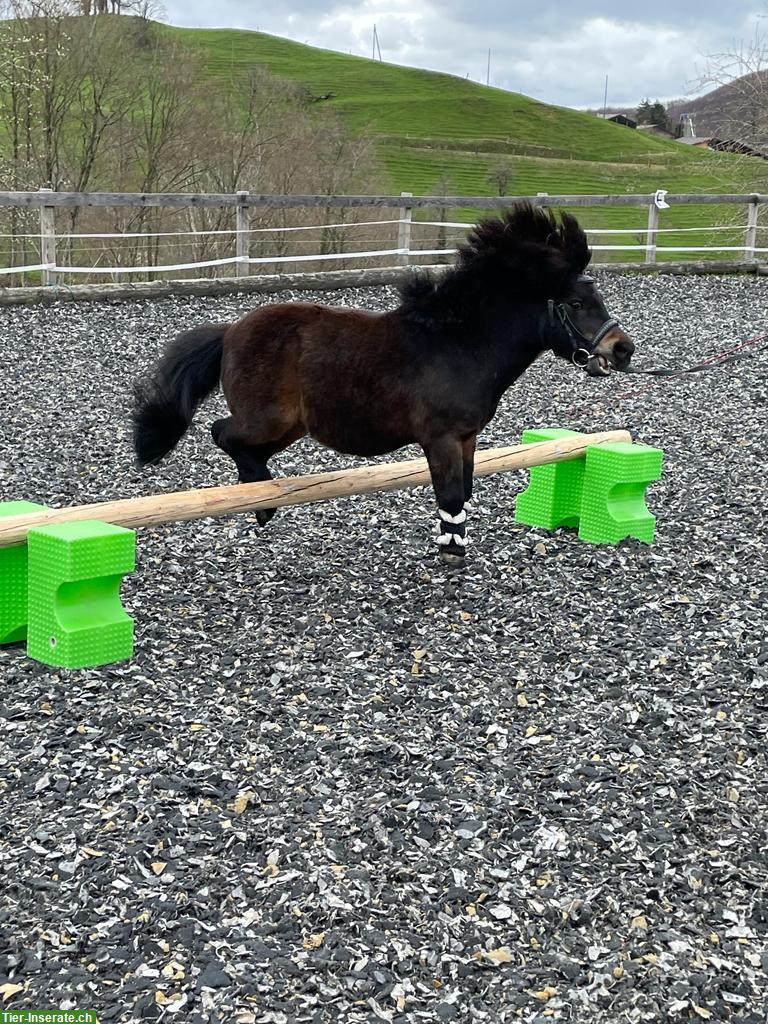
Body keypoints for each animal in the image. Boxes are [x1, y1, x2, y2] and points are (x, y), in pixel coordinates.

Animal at [134, 202, 638, 565]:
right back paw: (260, 500)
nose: (622, 350)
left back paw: (260, 498)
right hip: (267, 419)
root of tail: (231, 331)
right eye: (576, 302)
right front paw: (451, 553)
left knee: (239, 444)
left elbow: (464, 490)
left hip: (291, 426)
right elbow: (449, 493)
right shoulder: (439, 438)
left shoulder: (468, 437)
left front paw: (453, 542)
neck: (460, 344)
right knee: (222, 433)